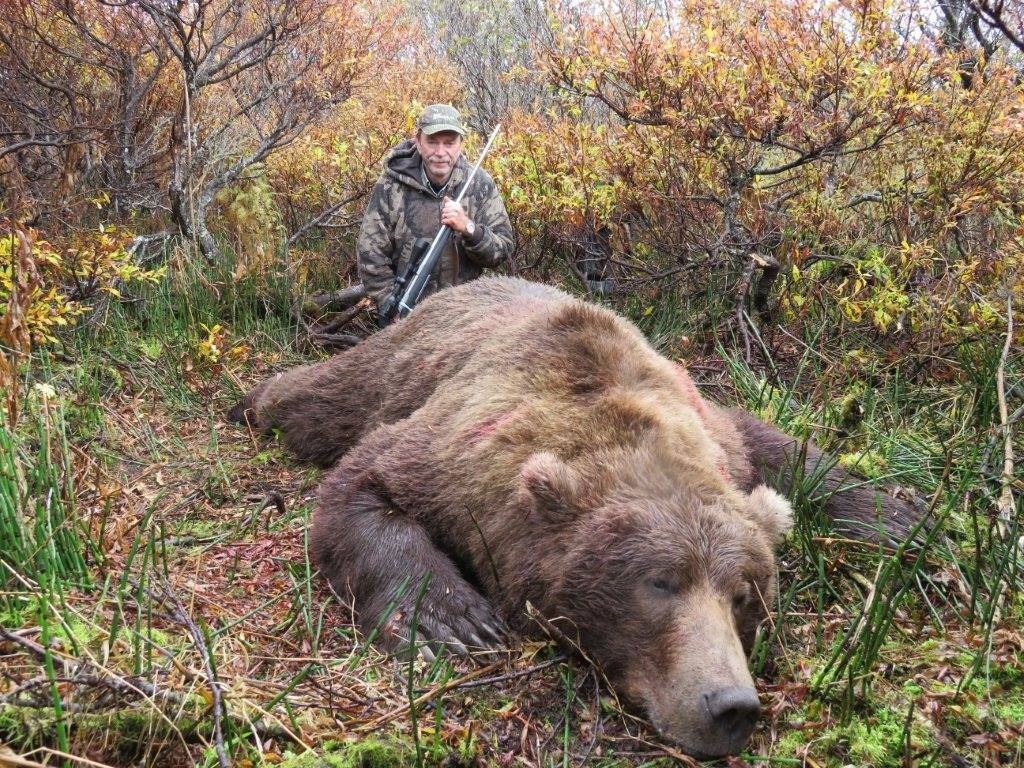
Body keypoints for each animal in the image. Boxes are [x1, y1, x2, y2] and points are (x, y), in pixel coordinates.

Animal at [230, 277, 922, 758]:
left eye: (745, 596)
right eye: (660, 583)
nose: (732, 705)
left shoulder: (715, 432)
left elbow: (784, 450)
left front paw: (901, 518)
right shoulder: (458, 450)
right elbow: (362, 482)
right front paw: (453, 619)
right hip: (393, 364)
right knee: (315, 401)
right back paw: (252, 399)